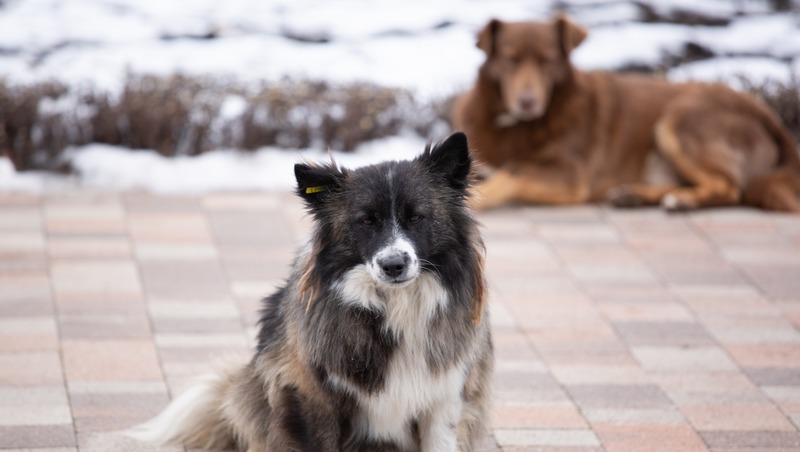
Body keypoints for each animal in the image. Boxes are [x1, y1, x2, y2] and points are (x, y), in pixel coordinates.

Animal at [127, 132, 490, 450]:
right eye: (366, 221)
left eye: (416, 217)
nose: (393, 265)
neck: (394, 306)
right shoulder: (309, 397)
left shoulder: (445, 400)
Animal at [454, 14, 800, 212]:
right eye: (510, 59)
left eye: (547, 60)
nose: (527, 102)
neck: (514, 126)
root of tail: (768, 117)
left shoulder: (569, 176)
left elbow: (508, 175)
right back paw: (635, 195)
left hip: (680, 118)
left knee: (730, 189)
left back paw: (682, 201)